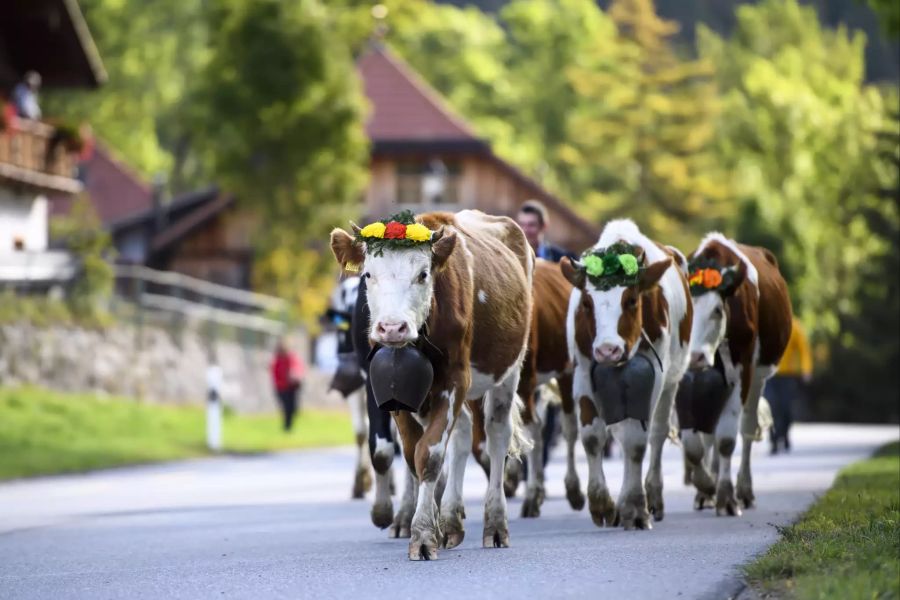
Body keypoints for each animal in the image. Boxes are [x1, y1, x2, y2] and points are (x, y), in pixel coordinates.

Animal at [336, 210, 536, 556]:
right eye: (368, 275)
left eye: (423, 274)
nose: (392, 328)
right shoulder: (392, 388)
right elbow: (408, 454)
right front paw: (424, 523)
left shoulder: (455, 378)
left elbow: (428, 455)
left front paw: (423, 535)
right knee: (463, 433)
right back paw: (451, 520)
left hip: (509, 369)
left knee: (496, 436)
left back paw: (495, 524)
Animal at [564, 220, 688, 528]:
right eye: (587, 303)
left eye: (631, 300)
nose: (608, 350)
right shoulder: (583, 370)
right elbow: (592, 436)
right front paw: (601, 503)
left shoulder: (654, 374)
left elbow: (636, 442)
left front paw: (634, 505)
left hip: (671, 381)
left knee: (656, 434)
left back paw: (652, 496)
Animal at [684, 234, 792, 516]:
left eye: (717, 310)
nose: (695, 357)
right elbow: (694, 442)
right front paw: (705, 486)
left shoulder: (744, 369)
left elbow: (726, 439)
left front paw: (726, 497)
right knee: (709, 433)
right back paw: (706, 492)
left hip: (759, 378)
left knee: (747, 429)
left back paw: (744, 491)